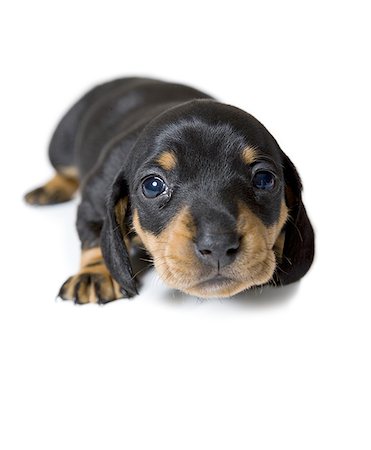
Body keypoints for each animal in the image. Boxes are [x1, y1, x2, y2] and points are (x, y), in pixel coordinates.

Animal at [24, 78, 316, 302]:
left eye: (264, 179)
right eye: (153, 186)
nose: (218, 246)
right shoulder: (93, 201)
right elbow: (93, 234)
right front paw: (95, 273)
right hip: (61, 144)